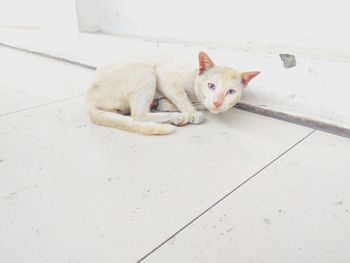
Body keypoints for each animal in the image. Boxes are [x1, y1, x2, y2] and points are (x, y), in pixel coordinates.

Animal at [86, 51, 258, 136]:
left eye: (231, 92)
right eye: (211, 86)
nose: (217, 103)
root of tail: (88, 94)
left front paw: (166, 104)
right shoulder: (165, 76)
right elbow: (181, 95)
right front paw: (191, 112)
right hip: (146, 69)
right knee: (138, 116)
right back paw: (177, 117)